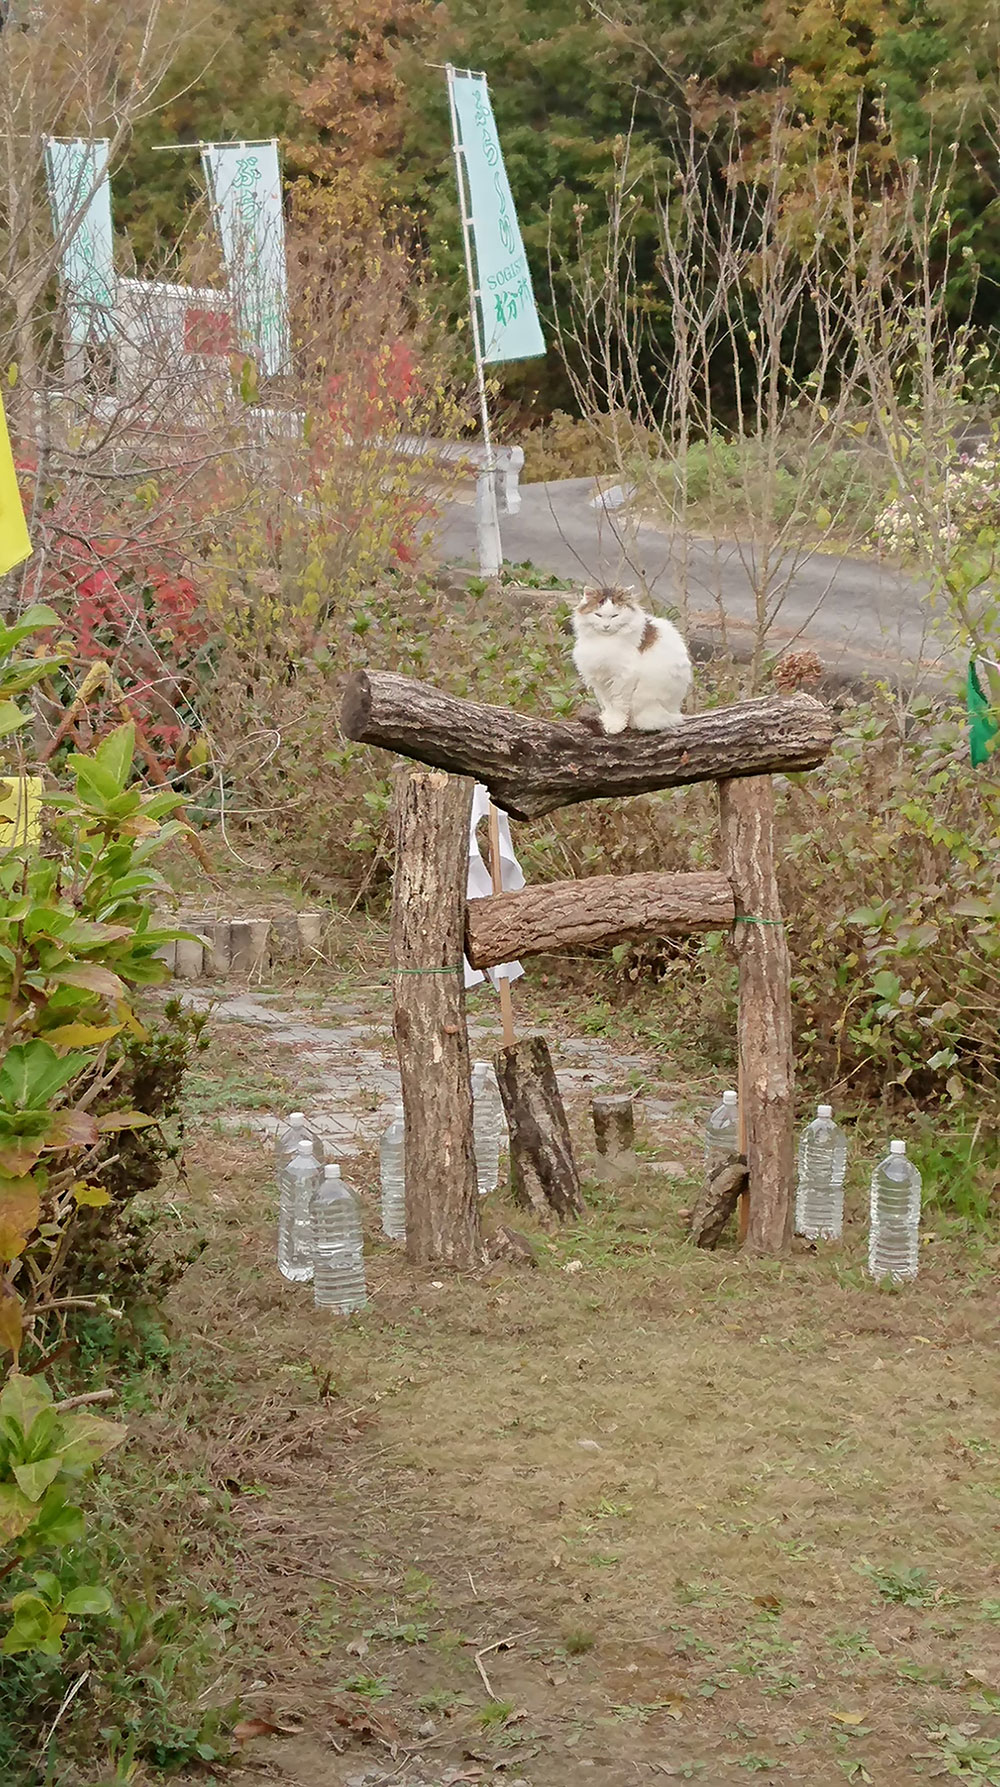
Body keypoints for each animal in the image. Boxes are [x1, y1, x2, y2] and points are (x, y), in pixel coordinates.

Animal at [575, 582, 692, 729]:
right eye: (598, 615)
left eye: (615, 616)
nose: (606, 626)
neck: (604, 640)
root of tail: (673, 711)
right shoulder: (601, 680)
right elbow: (608, 703)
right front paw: (608, 719)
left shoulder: (623, 677)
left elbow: (618, 704)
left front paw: (616, 724)